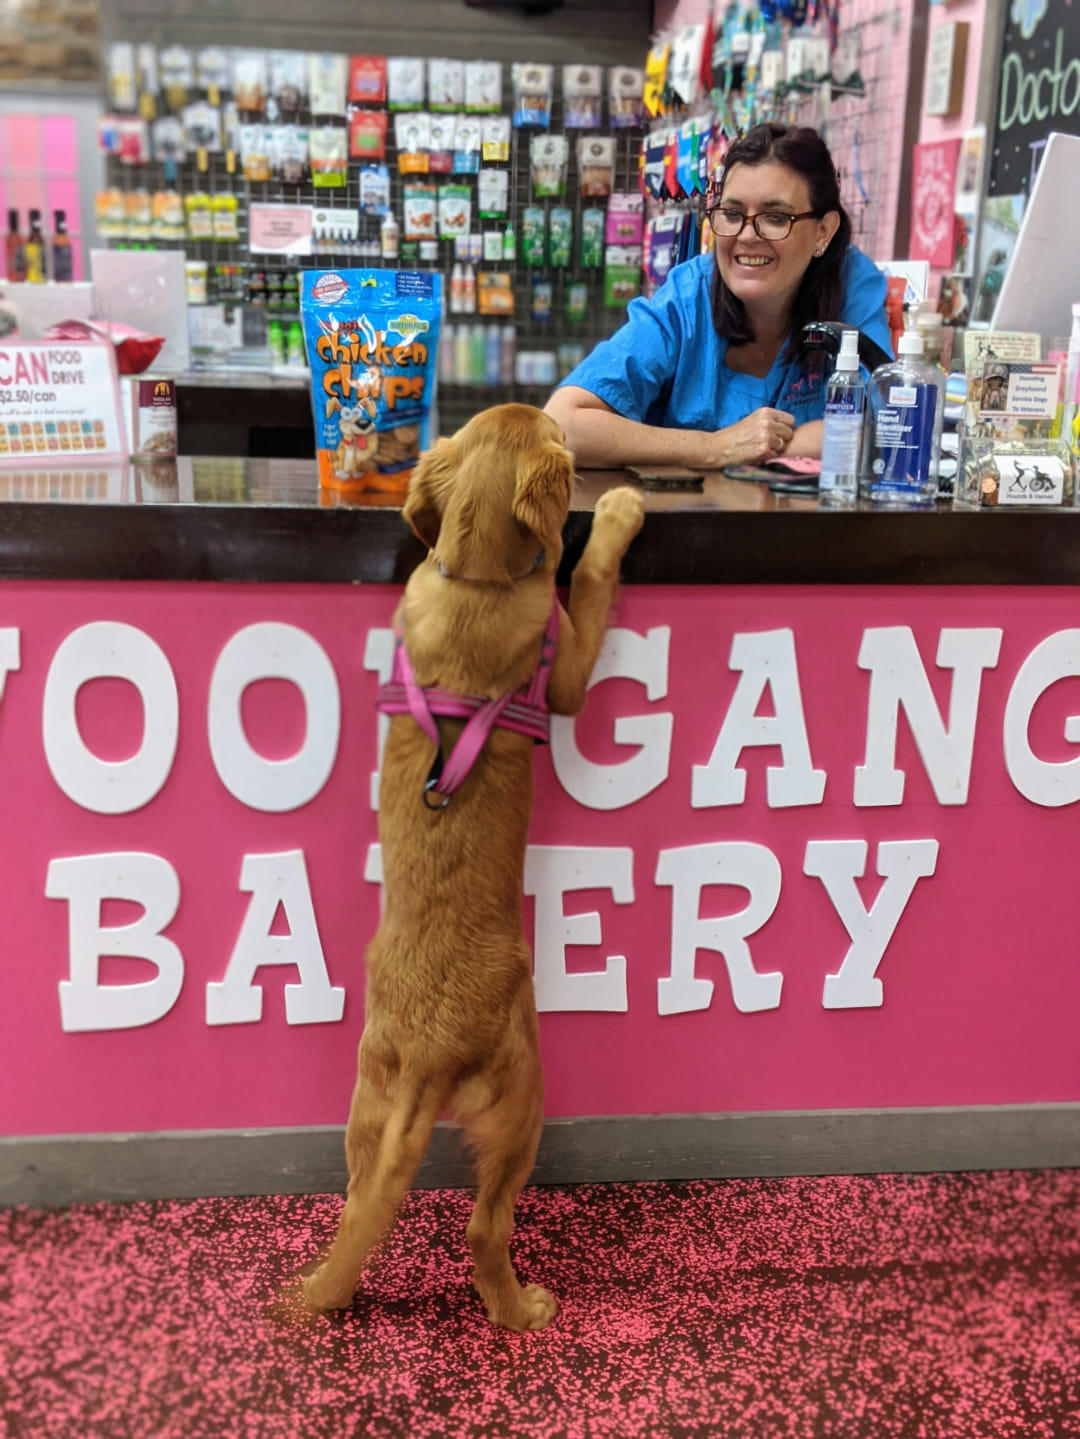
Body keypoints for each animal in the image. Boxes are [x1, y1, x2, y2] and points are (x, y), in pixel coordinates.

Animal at [300, 402, 647, 1323]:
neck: (475, 584)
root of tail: (431, 1050)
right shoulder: (561, 670)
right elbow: (587, 580)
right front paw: (617, 515)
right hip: (525, 1095)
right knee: (484, 1225)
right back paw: (521, 1307)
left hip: (368, 1099)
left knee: (360, 1204)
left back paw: (322, 1286)